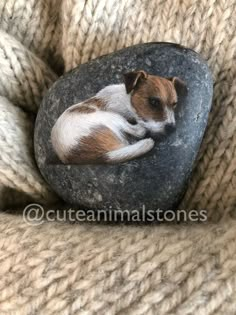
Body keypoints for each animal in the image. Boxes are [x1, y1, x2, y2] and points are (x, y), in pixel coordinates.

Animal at [50, 70, 185, 164]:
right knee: (139, 131)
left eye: (174, 104)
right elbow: (140, 128)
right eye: (154, 102)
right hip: (110, 117)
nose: (171, 128)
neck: (126, 99)